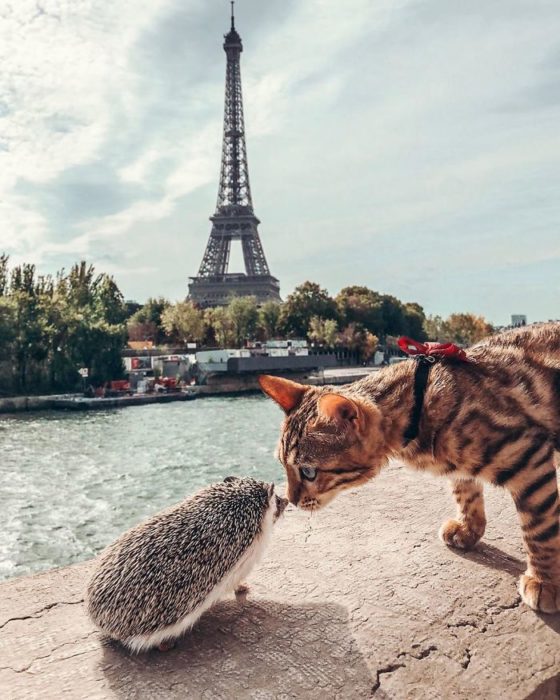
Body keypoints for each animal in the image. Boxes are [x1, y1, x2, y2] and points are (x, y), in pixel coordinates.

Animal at [260, 322, 560, 612]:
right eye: (282, 465)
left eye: (308, 472)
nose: (291, 499)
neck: (418, 406)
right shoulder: (462, 467)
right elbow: (466, 492)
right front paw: (469, 529)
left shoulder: (528, 457)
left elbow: (540, 528)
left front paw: (544, 581)